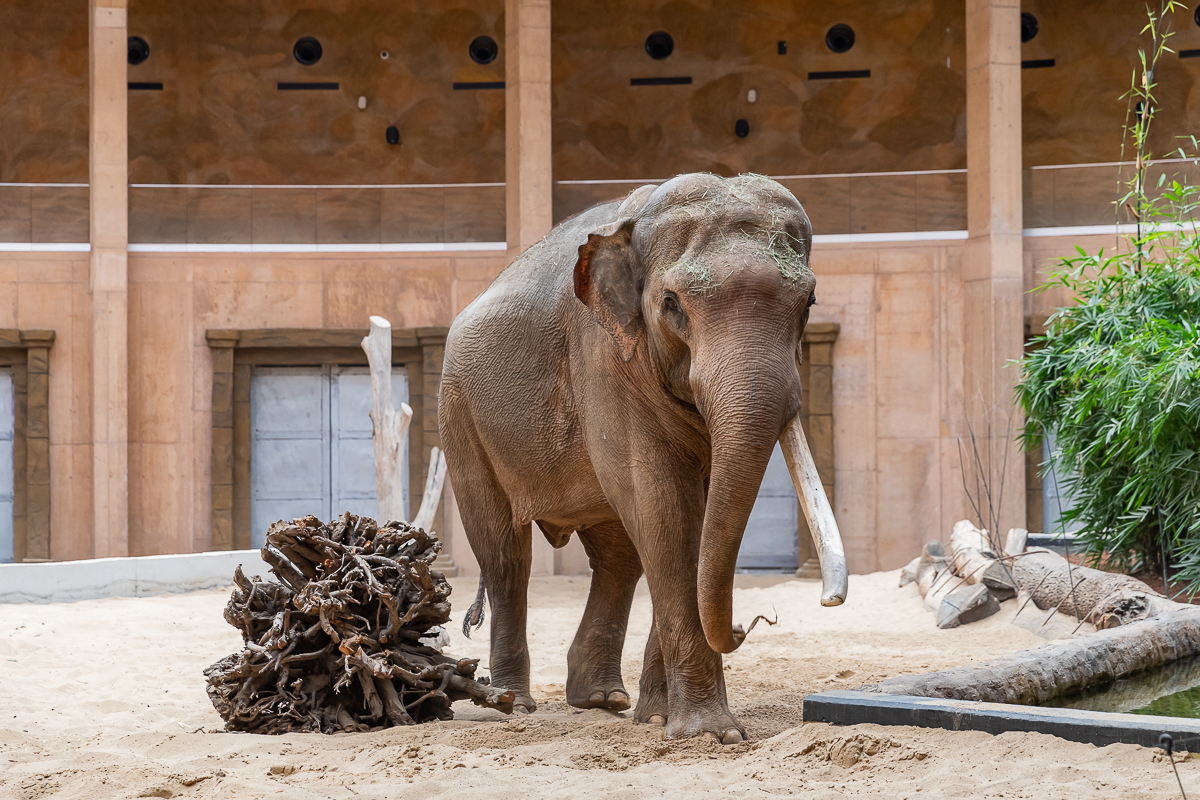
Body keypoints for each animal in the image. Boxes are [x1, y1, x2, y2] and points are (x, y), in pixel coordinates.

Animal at [439, 173, 844, 743]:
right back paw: (514, 705)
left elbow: (688, 518)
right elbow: (664, 511)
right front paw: (710, 735)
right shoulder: (603, 355)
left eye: (809, 301)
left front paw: (659, 719)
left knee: (618, 556)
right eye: (671, 303)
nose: (749, 623)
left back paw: (603, 700)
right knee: (505, 554)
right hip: (460, 415)